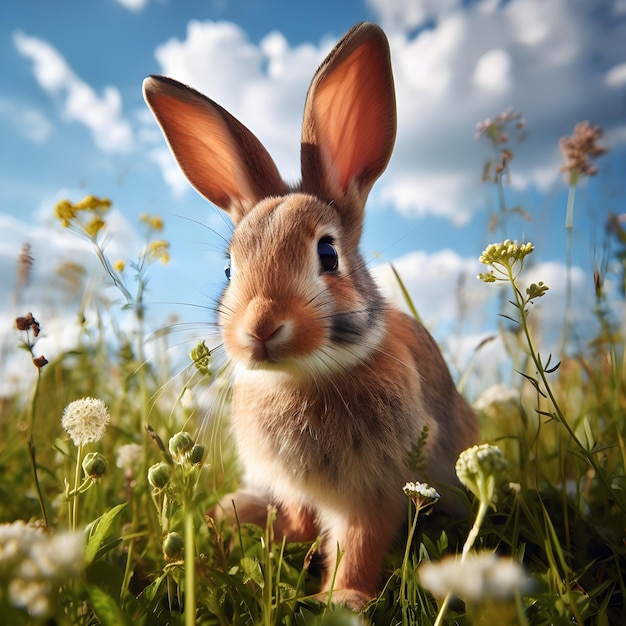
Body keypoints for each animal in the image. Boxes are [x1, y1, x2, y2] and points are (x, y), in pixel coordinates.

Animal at [144, 20, 476, 608]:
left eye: (328, 254)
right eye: (229, 269)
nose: (260, 327)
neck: (303, 377)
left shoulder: (374, 490)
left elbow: (359, 542)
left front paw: (340, 601)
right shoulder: (296, 485)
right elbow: (301, 520)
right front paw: (241, 516)